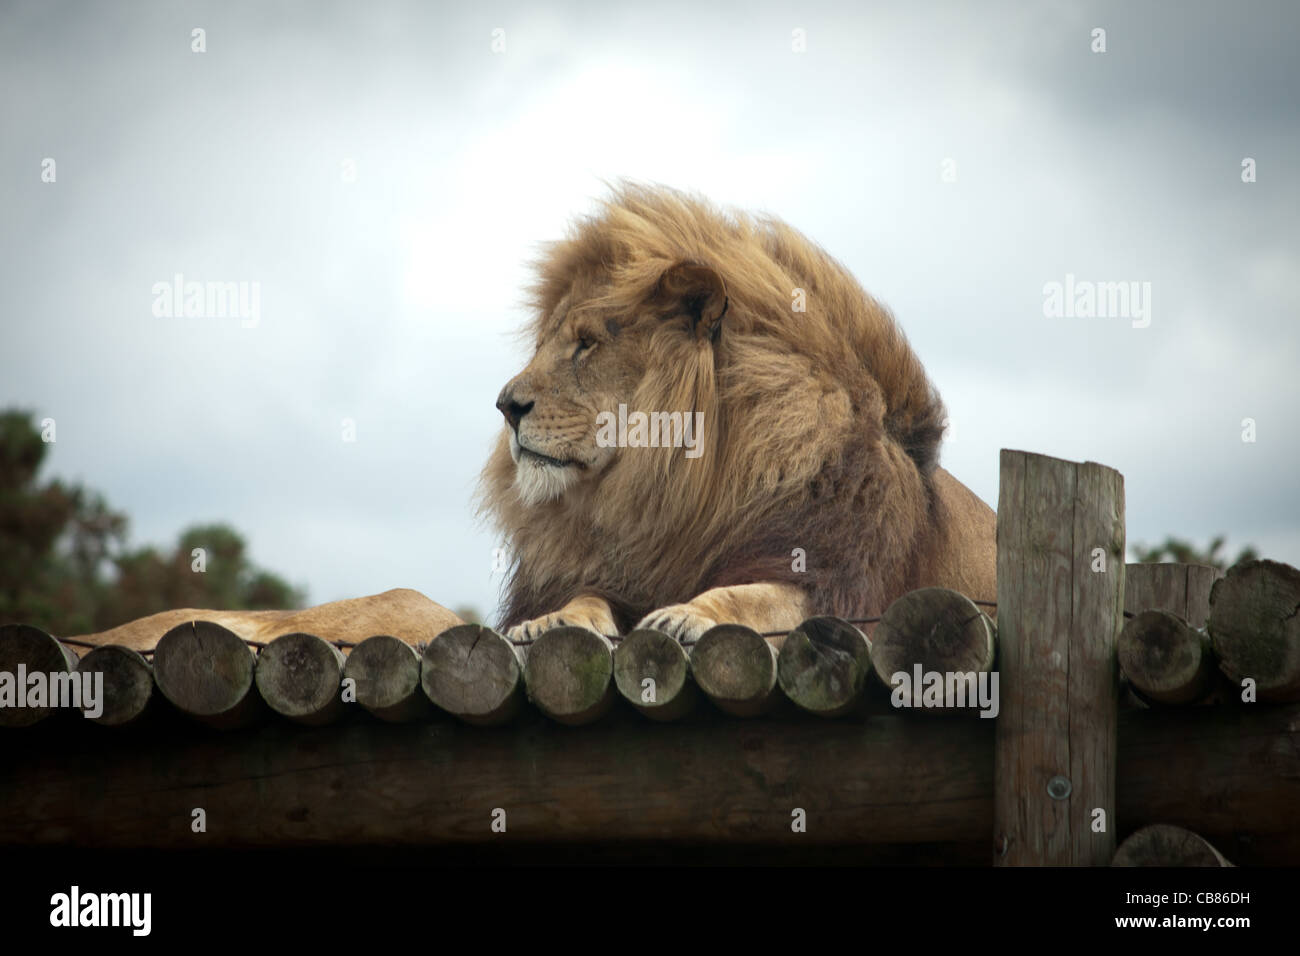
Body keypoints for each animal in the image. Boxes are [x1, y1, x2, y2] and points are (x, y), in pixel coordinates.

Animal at [483, 183, 987, 647]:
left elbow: (751, 596)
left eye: (586, 343)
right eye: (543, 345)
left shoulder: (836, 581)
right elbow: (586, 594)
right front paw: (551, 619)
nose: (507, 405)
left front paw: (686, 613)